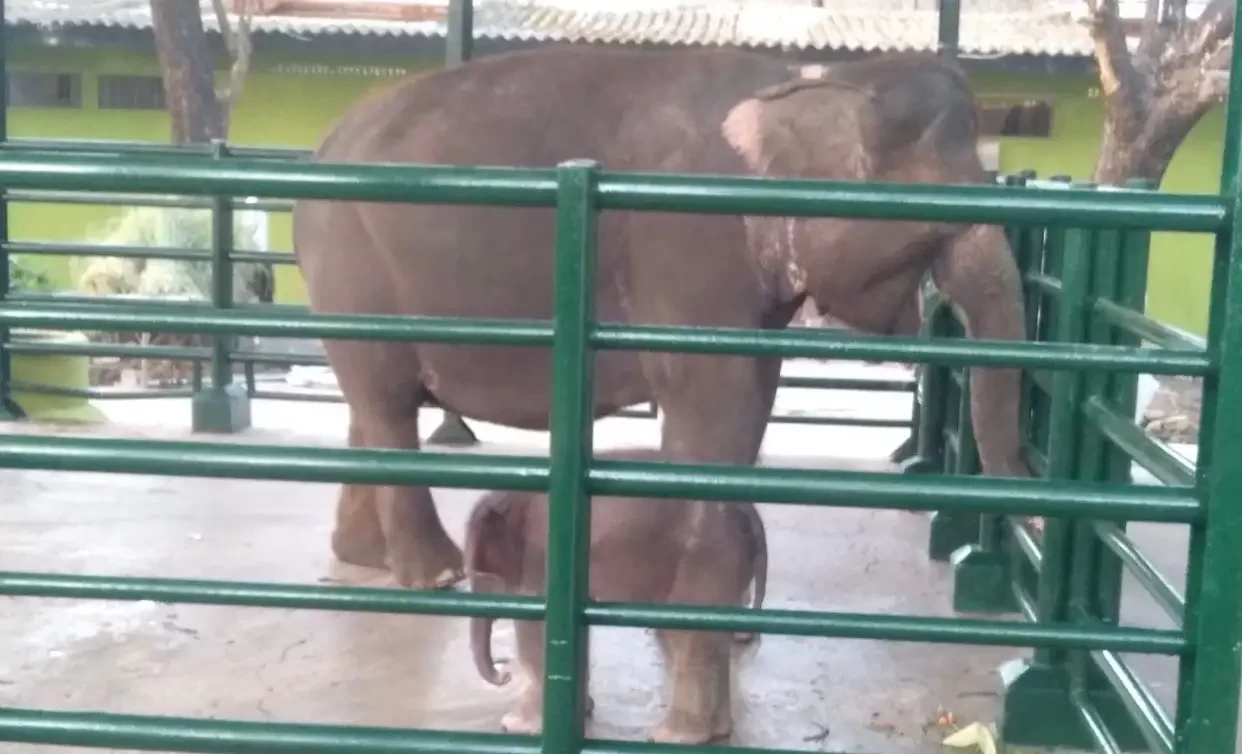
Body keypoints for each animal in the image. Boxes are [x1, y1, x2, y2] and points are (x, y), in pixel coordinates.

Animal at [290, 45, 1028, 591]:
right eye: (935, 226)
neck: (810, 79)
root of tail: (321, 149)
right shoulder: (685, 237)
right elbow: (715, 398)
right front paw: (697, 577)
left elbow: (756, 392)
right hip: (351, 262)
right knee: (387, 403)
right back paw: (437, 576)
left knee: (371, 403)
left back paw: (363, 557)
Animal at [466, 444, 765, 745]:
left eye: (479, 571)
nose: (503, 673)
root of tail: (748, 510)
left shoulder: (540, 557)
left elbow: (535, 630)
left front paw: (514, 726)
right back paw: (719, 732)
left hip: (704, 560)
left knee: (686, 638)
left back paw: (668, 737)